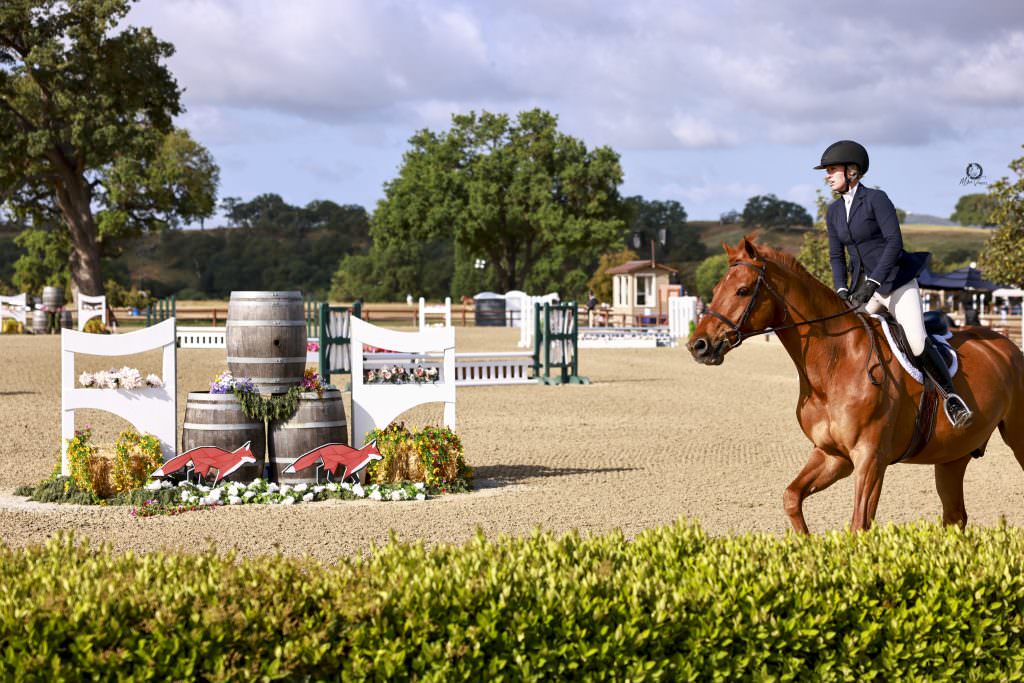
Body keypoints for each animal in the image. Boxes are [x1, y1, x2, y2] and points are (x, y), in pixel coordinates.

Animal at [687, 236, 1024, 533]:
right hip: (952, 456)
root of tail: (1008, 346)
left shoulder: (870, 459)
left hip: (1015, 441)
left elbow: (858, 525)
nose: (698, 345)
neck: (835, 364)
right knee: (955, 518)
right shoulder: (832, 455)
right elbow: (791, 498)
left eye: (743, 291)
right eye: (715, 289)